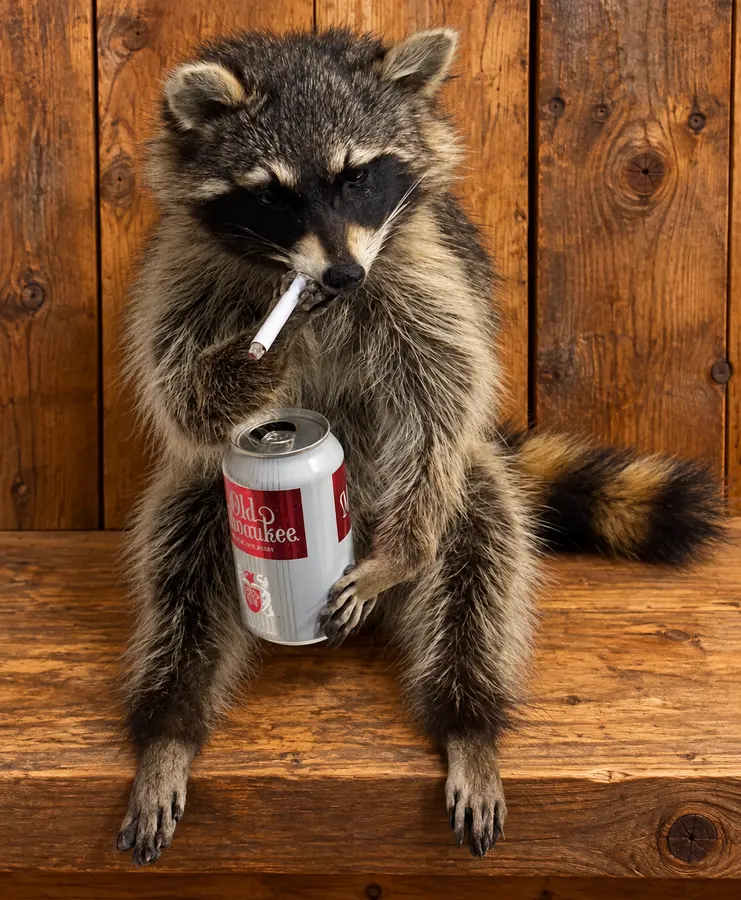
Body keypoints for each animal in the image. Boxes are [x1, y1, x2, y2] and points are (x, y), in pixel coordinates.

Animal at [117, 28, 725, 866]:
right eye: (274, 195)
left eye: (359, 176)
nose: (342, 273)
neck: (309, 289)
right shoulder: (185, 273)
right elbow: (183, 402)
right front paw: (251, 361)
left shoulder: (423, 270)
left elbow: (444, 393)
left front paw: (407, 559)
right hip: (209, 505)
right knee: (184, 546)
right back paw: (170, 724)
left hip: (440, 499)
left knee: (478, 538)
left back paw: (466, 717)